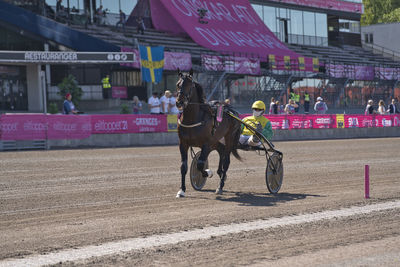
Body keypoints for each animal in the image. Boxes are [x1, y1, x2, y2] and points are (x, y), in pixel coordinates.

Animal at [174, 70, 241, 198]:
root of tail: (231, 110)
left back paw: (220, 186)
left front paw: (208, 172)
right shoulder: (183, 144)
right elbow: (183, 166)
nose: (180, 102)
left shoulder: (206, 144)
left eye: (190, 85)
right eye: (178, 84)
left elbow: (200, 164)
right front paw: (182, 190)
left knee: (226, 161)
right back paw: (221, 174)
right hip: (216, 141)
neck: (193, 119)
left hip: (229, 137)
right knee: (221, 150)